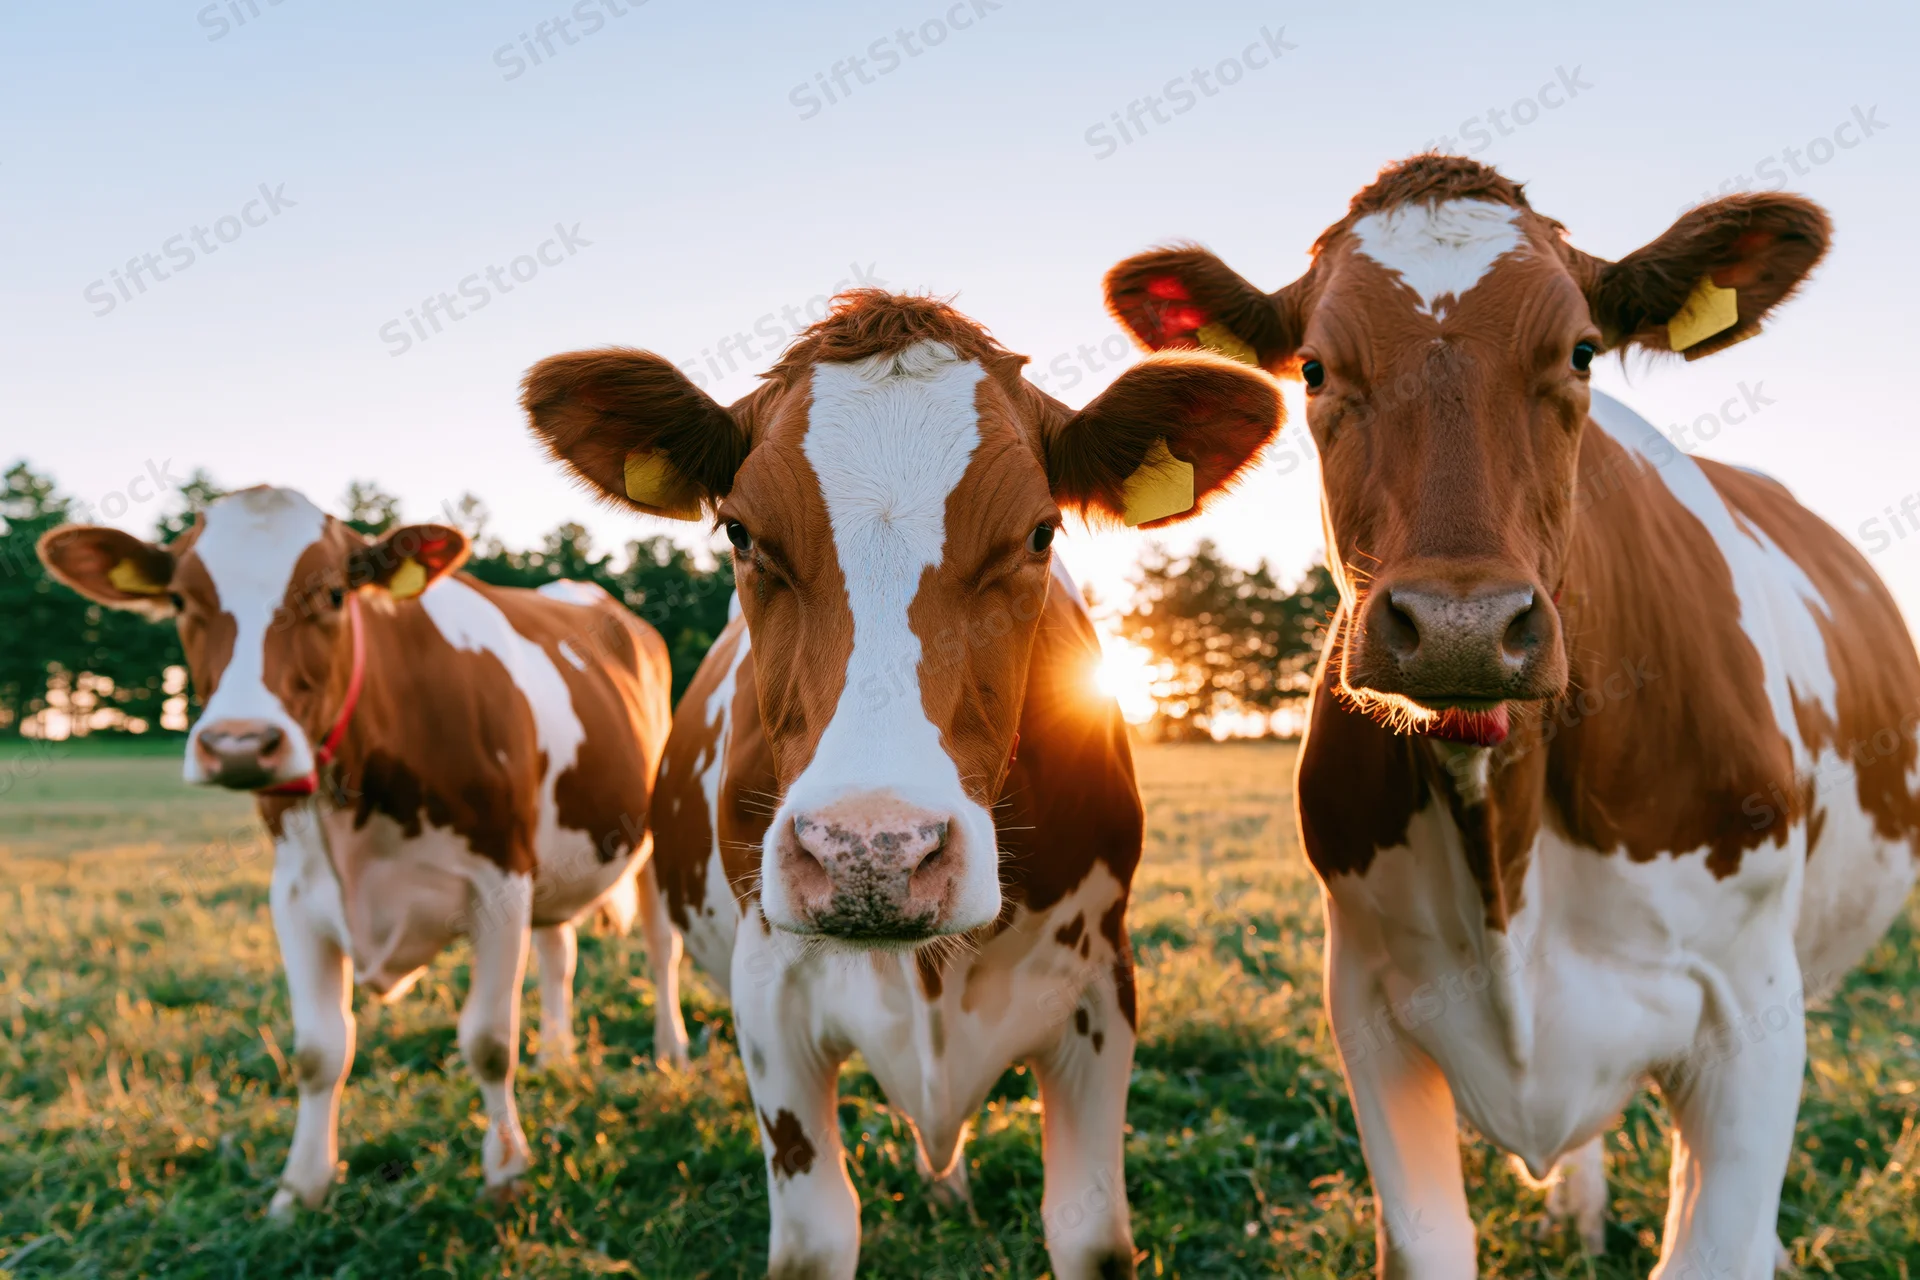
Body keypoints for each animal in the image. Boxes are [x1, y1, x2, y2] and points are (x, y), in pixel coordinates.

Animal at [36, 487, 681, 1214]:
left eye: (335, 594)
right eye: (179, 599)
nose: (238, 744)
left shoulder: (501, 882)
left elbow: (488, 1041)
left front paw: (506, 1173)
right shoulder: (296, 895)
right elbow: (320, 1051)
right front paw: (301, 1188)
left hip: (648, 836)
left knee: (660, 947)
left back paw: (671, 1049)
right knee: (558, 950)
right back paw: (559, 1056)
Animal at [521, 289, 1283, 1279]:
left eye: (1039, 533)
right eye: (742, 533)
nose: (870, 856)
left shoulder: (1100, 987)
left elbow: (1090, 1231)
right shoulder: (771, 998)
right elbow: (815, 1237)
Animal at [1102, 153, 1918, 1278]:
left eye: (1581, 351)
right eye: (1313, 368)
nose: (1461, 626)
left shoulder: (1754, 1012)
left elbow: (1715, 1245)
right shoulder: (1369, 1005)